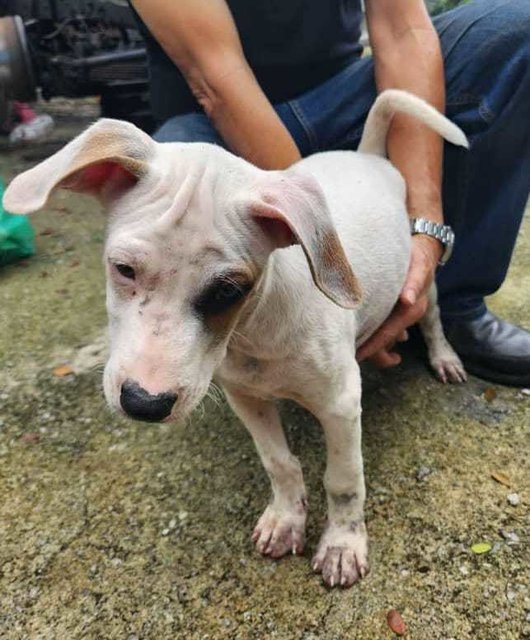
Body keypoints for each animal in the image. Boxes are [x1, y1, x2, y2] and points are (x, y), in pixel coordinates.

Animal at [4, 89, 466, 584]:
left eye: (228, 290)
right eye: (123, 269)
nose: (143, 404)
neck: (252, 334)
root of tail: (366, 154)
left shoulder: (340, 403)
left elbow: (343, 480)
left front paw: (342, 544)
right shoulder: (245, 396)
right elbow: (279, 463)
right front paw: (286, 519)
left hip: (424, 284)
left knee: (433, 319)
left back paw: (444, 357)